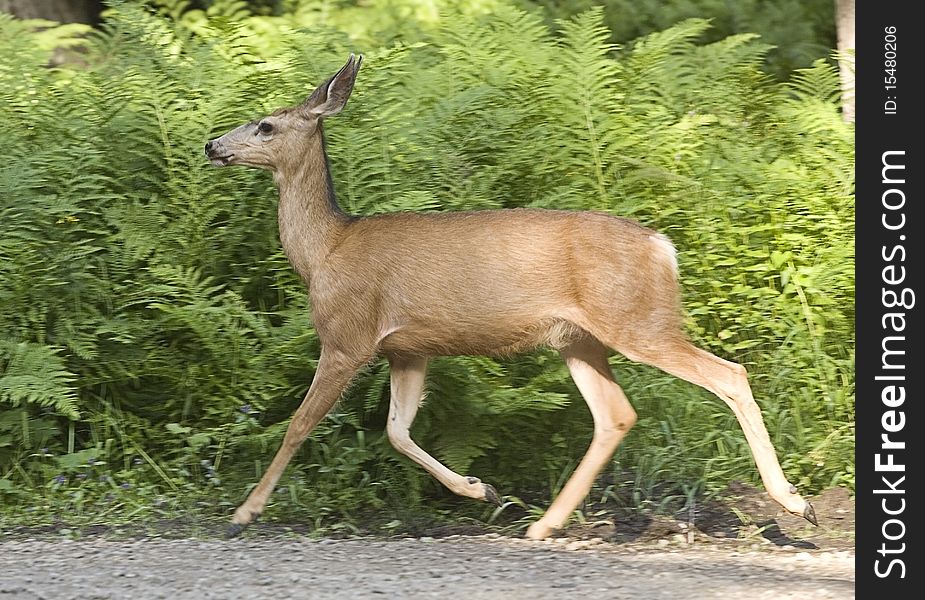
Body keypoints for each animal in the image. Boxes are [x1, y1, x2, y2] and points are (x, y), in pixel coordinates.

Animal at [208, 52, 816, 540]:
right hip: (579, 338)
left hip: (638, 319)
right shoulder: (409, 348)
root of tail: (661, 247)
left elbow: (299, 424)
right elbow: (397, 431)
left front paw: (244, 512)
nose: (213, 144)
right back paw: (543, 525)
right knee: (616, 414)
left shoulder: (346, 337)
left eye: (266, 125)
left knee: (728, 374)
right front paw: (482, 489)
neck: (324, 251)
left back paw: (795, 503)